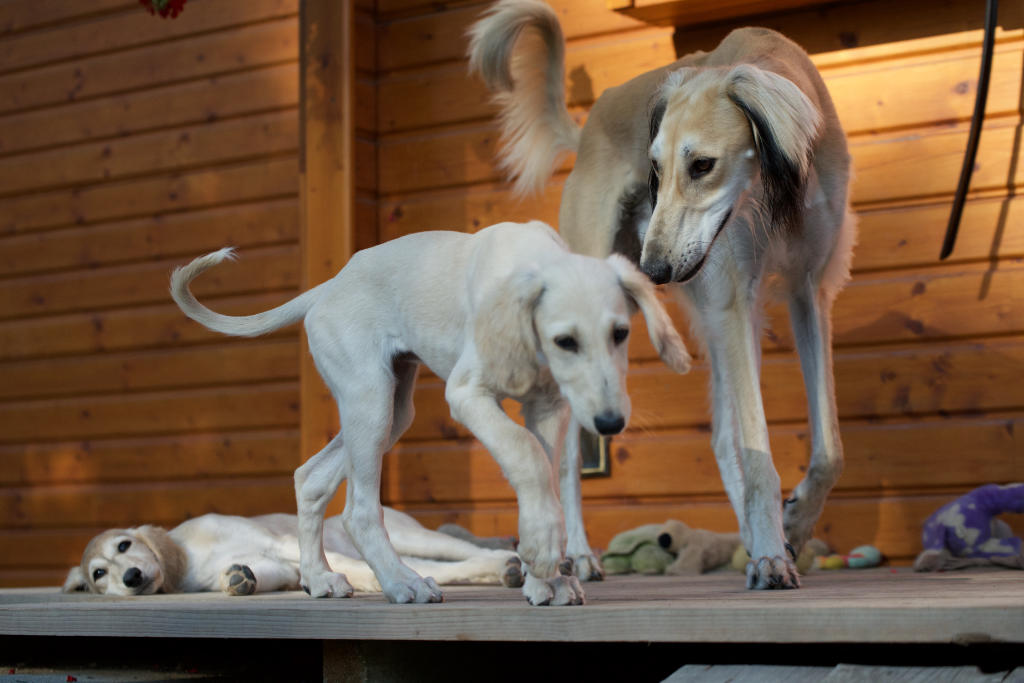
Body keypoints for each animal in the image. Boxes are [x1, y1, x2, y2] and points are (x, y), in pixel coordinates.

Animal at [172, 222, 692, 606]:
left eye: (620, 333)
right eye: (566, 341)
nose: (609, 424)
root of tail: (329, 286)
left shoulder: (547, 404)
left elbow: (544, 471)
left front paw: (548, 577)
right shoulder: (466, 394)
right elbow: (524, 453)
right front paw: (543, 550)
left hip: (393, 410)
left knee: (311, 478)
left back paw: (319, 579)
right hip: (370, 399)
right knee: (359, 510)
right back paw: (402, 582)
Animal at [468, 0, 856, 589]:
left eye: (702, 165)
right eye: (655, 167)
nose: (653, 268)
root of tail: (590, 124)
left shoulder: (807, 291)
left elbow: (828, 446)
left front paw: (795, 523)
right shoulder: (736, 297)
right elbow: (757, 449)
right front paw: (773, 549)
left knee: (721, 438)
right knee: (569, 456)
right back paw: (578, 552)